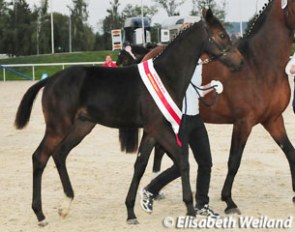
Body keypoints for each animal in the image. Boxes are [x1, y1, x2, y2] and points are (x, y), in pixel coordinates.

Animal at [13, 9, 243, 227]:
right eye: (222, 34)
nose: (239, 61)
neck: (166, 76)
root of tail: (51, 79)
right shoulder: (159, 128)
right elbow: (182, 159)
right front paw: (189, 209)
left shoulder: (151, 131)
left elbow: (140, 165)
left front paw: (131, 212)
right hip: (57, 127)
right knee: (39, 157)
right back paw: (40, 214)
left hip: (82, 126)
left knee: (60, 154)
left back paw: (65, 204)